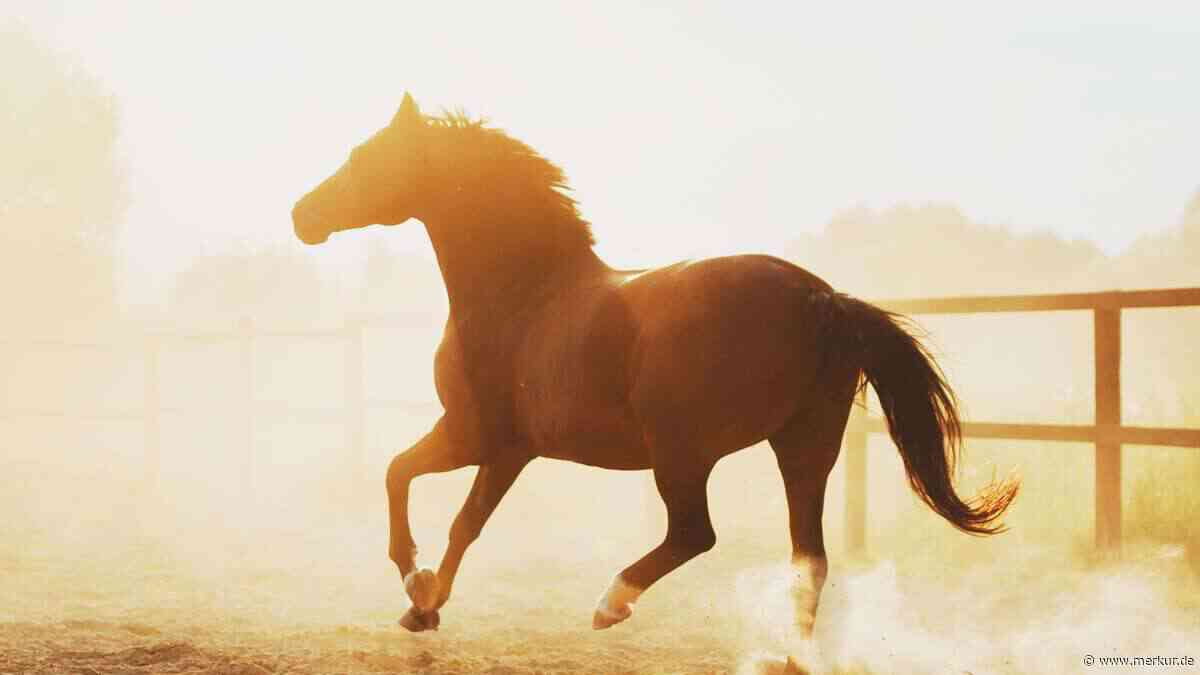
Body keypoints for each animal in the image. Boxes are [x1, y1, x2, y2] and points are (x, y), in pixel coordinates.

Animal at [291, 93, 1018, 672]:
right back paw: (787, 656)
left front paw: (420, 591)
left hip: (682, 451)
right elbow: (428, 496)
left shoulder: (486, 439)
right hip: (804, 448)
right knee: (808, 559)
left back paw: (610, 602)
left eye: (368, 156)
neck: (526, 295)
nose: (303, 214)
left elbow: (434, 500)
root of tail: (824, 299)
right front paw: (422, 605)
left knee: (697, 532)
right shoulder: (493, 445)